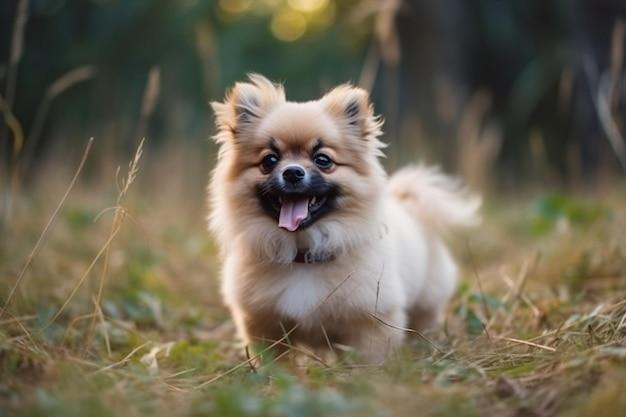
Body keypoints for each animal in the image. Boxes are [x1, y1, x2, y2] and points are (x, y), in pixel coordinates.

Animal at [208, 75, 478, 364]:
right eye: (269, 160)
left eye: (323, 160)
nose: (292, 172)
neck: (303, 253)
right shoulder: (264, 324)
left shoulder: (371, 324)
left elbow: (370, 361)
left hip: (426, 302)